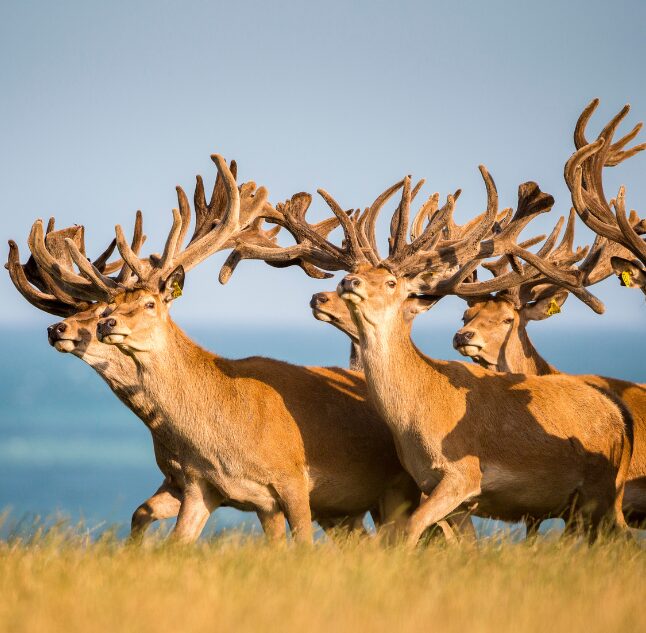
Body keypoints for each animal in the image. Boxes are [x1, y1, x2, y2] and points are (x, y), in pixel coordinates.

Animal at [225, 165, 634, 544]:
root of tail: (620, 417)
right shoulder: (434, 487)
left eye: (391, 282)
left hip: (604, 489)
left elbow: (410, 529)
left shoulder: (464, 474)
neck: (420, 415)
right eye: (353, 273)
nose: (346, 283)